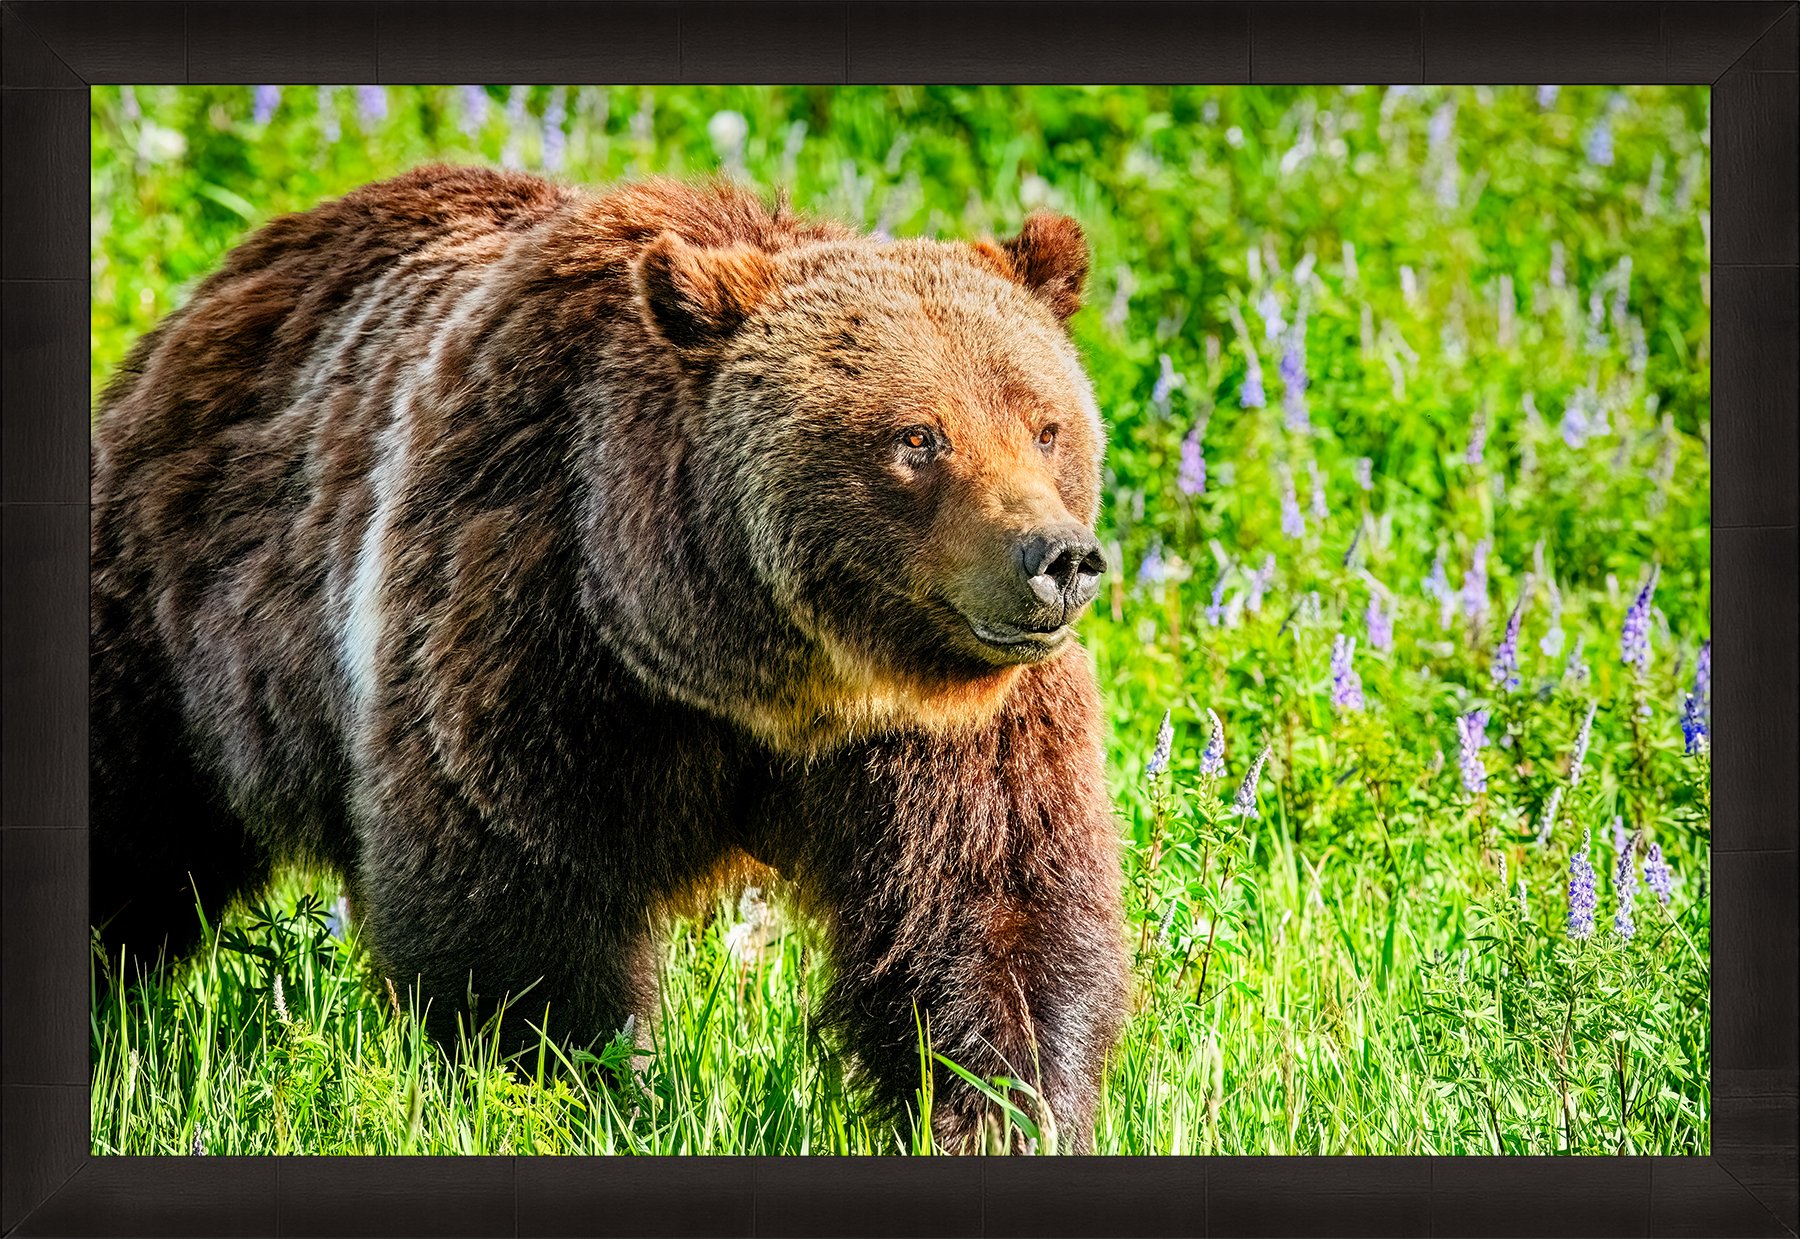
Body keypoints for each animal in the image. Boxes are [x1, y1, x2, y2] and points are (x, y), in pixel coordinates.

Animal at [90, 165, 1129, 1153]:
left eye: (1046, 424)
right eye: (919, 436)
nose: (1058, 558)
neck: (758, 671)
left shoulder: (947, 731)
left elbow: (993, 913)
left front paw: (1004, 1112)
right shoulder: (537, 639)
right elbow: (518, 907)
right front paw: (574, 1089)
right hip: (179, 620)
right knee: (132, 817)